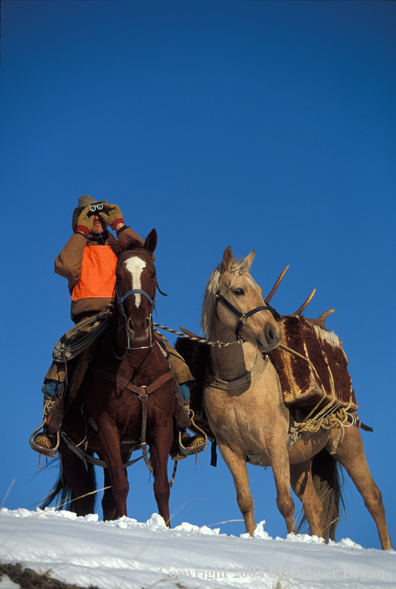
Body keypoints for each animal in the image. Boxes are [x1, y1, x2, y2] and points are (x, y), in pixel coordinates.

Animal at [44, 227, 184, 520]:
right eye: (119, 276)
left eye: (152, 273)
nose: (139, 325)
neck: (137, 369)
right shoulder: (108, 428)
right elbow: (121, 485)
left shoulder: (162, 428)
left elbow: (161, 487)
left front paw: (164, 526)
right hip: (73, 453)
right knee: (85, 498)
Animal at [200, 243, 392, 548]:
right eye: (238, 291)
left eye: (259, 289)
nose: (272, 333)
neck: (238, 385)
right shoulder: (231, 451)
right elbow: (245, 502)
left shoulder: (275, 445)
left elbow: (284, 503)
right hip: (301, 461)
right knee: (315, 508)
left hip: (348, 444)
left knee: (373, 499)